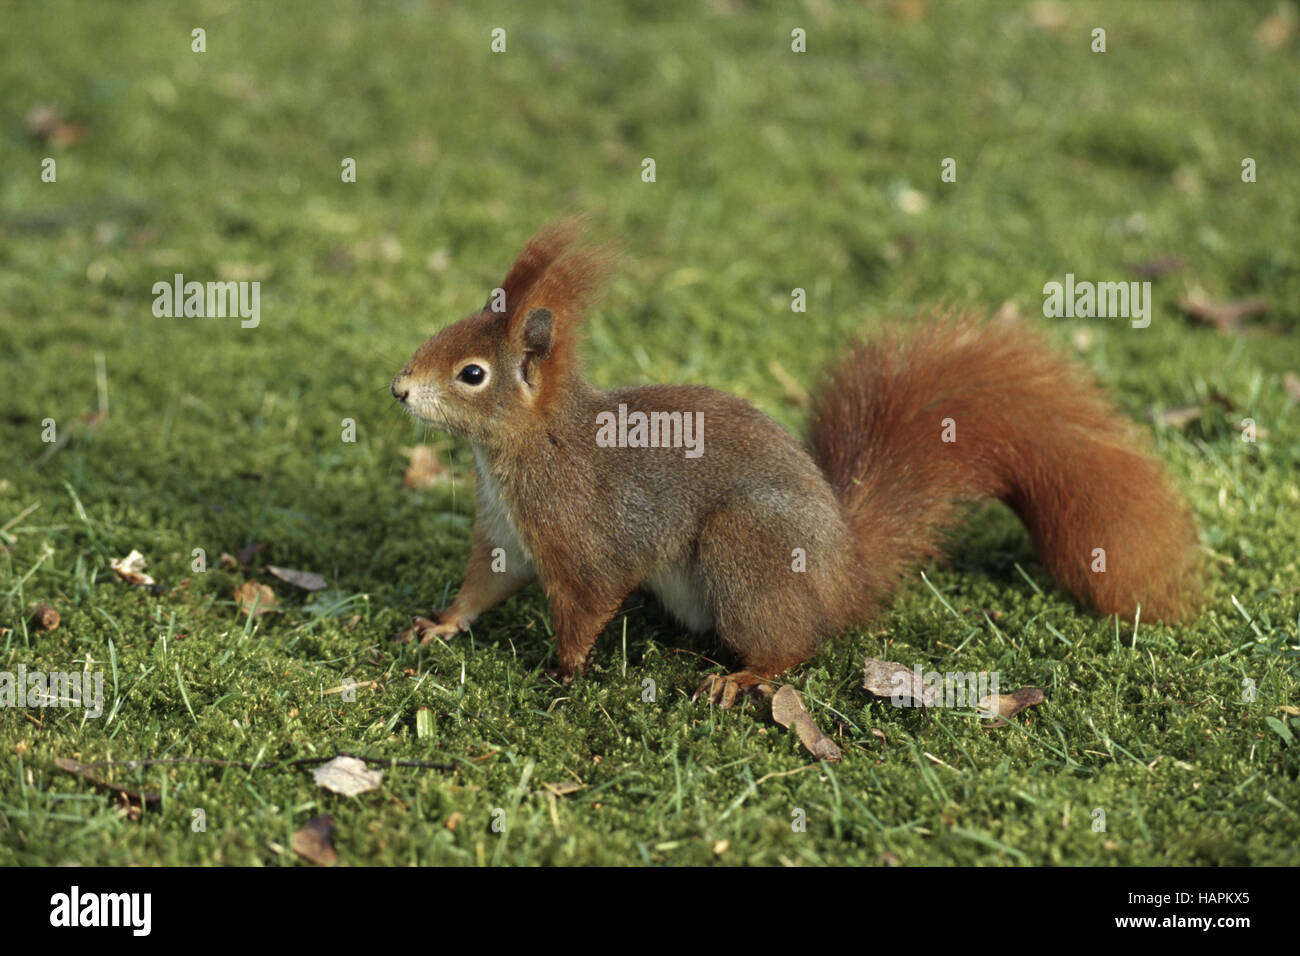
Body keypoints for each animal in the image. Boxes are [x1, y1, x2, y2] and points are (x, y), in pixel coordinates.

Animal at [390, 221, 1201, 707]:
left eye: (471, 375)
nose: (399, 388)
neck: (522, 448)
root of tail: (846, 575)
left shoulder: (586, 536)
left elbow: (586, 604)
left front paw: (561, 672)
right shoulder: (504, 531)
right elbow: (485, 584)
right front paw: (439, 625)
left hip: (748, 545)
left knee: (797, 645)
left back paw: (747, 675)